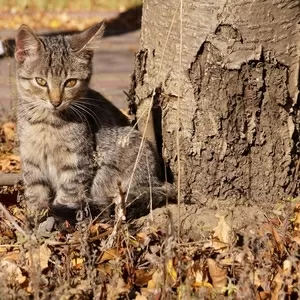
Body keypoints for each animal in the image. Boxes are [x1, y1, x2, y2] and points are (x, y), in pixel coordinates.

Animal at [15, 22, 176, 220]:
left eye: (70, 82)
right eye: (41, 81)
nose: (56, 101)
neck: (48, 124)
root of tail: (156, 181)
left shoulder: (77, 162)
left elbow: (69, 195)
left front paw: (59, 217)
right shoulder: (30, 158)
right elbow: (35, 190)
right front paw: (35, 216)